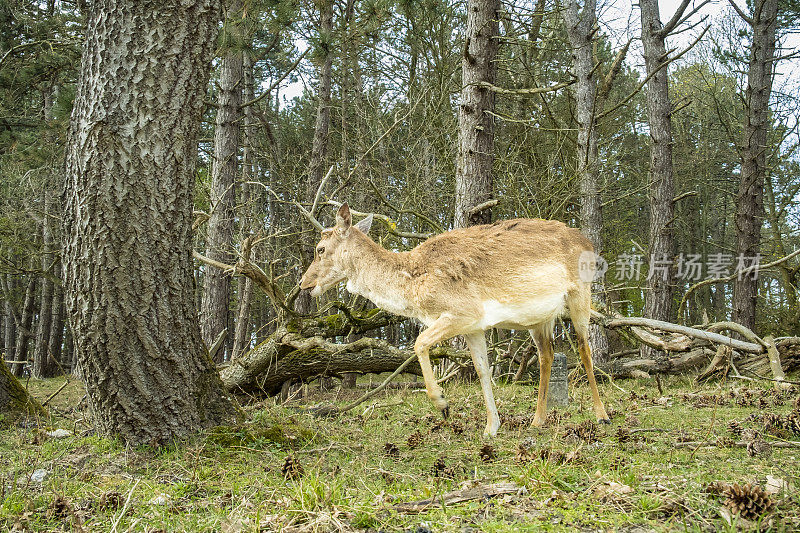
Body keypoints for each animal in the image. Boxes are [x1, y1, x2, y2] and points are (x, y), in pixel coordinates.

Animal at [298, 202, 608, 434]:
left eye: (320, 249)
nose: (304, 284)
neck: (413, 287)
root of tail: (589, 242)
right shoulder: (474, 326)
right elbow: (482, 370)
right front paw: (491, 427)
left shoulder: (464, 312)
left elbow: (419, 343)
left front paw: (443, 404)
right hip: (539, 319)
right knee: (547, 354)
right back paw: (537, 420)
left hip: (580, 293)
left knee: (584, 348)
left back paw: (601, 415)